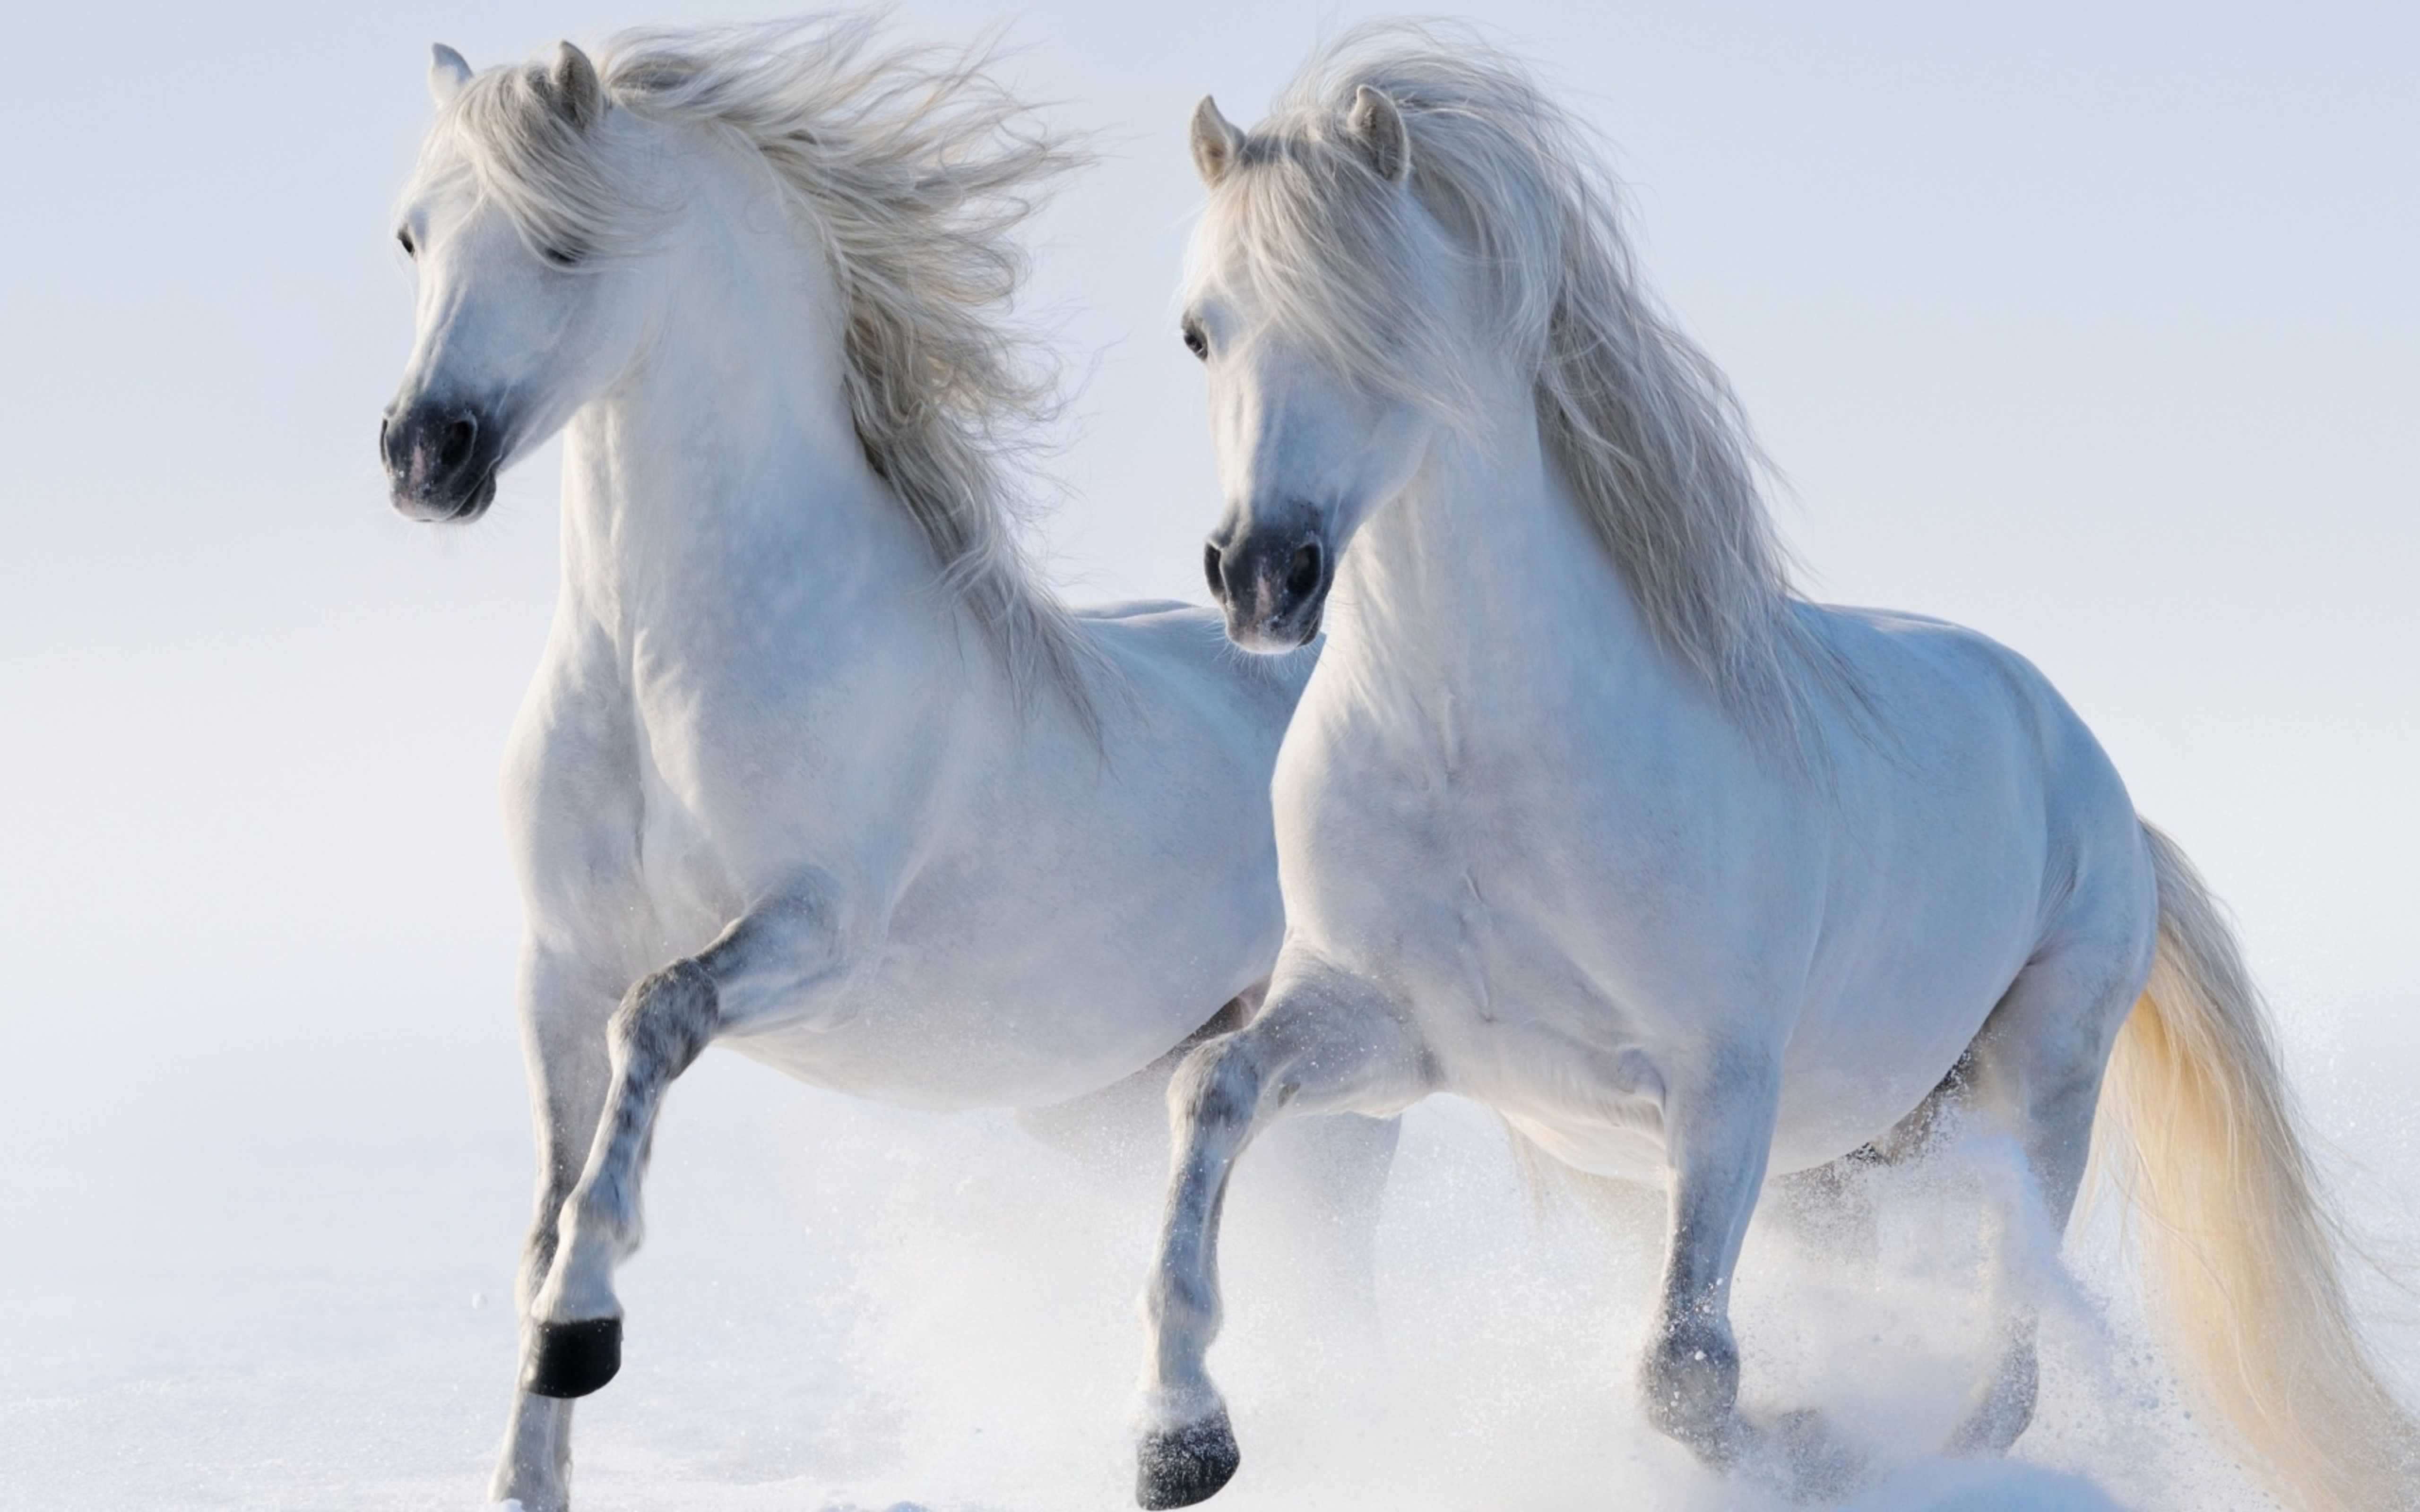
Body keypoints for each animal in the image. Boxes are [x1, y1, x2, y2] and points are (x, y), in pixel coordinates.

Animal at [376, 20, 1396, 1511]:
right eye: (413, 235)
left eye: (563, 243)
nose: (423, 455)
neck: (661, 665)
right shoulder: (555, 965)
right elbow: (547, 1206)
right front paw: (527, 1465)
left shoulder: (814, 935)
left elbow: (655, 1027)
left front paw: (584, 1330)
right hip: (1104, 1103)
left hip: (1341, 1092)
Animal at [1133, 24, 2417, 1512]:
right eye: (1200, 330)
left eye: (1380, 326)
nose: (1262, 577)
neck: (1477, 760)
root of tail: (2096, 781)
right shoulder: (1387, 1033)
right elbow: (1209, 1089)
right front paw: (1179, 1437)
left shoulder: (1720, 1091)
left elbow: (1686, 1373)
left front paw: (1813, 1444)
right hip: (1849, 1161)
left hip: (2036, 1086)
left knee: (2010, 1371)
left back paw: (1924, 1455)